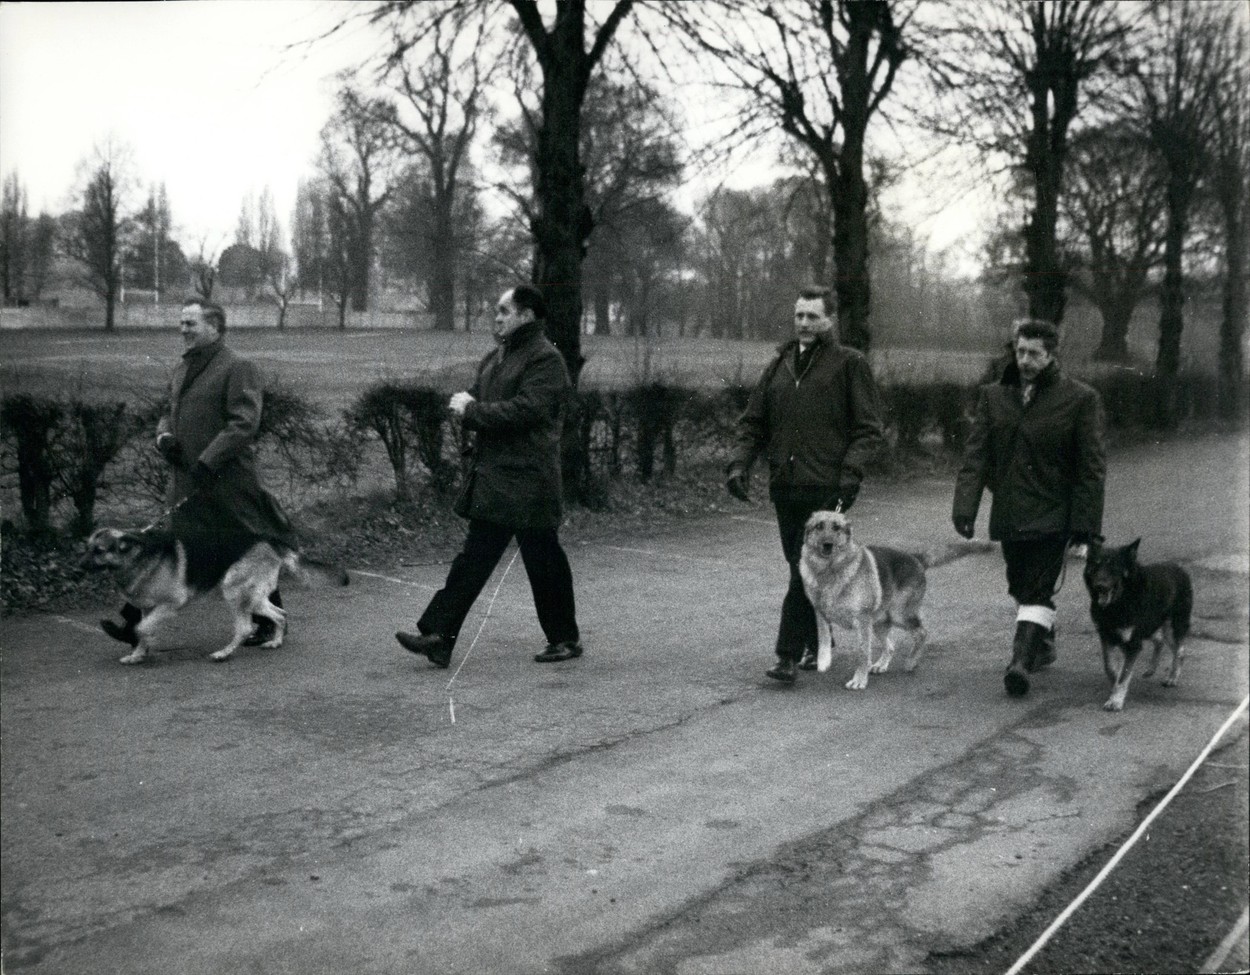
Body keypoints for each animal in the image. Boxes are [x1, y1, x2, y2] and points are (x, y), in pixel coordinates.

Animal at [800, 515, 995, 690]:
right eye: (819, 526)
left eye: (836, 528)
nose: (827, 544)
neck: (828, 571)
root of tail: (916, 558)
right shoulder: (821, 613)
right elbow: (823, 637)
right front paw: (823, 660)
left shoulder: (862, 622)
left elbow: (863, 654)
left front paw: (859, 680)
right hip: (878, 623)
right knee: (891, 646)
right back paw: (881, 664)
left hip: (898, 615)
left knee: (921, 632)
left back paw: (911, 661)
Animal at [1085, 537, 1190, 710]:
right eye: (1096, 565)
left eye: (1114, 568)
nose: (1100, 586)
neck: (1120, 601)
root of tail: (1179, 568)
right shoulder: (1107, 637)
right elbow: (1110, 667)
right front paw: (1115, 684)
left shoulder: (1132, 644)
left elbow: (1123, 675)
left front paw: (1116, 700)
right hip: (1150, 627)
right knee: (1160, 641)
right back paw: (1151, 669)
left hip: (1173, 626)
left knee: (1179, 651)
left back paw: (1172, 677)